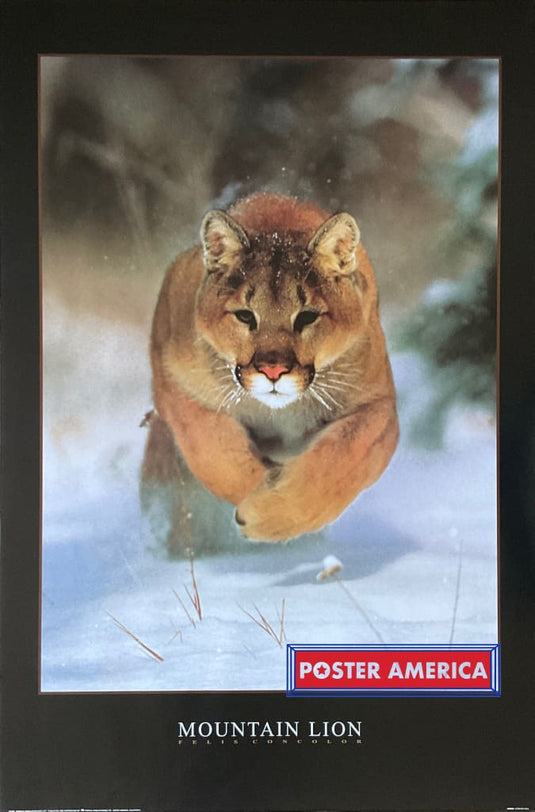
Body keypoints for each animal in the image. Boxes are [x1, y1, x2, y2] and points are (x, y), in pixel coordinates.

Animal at [141, 193, 398, 553]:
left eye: (307, 317)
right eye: (245, 316)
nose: (272, 370)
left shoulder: (378, 405)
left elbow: (343, 458)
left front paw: (273, 513)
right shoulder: (174, 382)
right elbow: (215, 450)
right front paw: (258, 492)